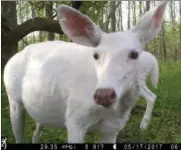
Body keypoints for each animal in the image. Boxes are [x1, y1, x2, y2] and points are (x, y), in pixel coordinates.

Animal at [3, 2, 167, 143]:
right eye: (95, 55)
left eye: (134, 54)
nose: (103, 94)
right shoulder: (74, 119)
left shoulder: (112, 128)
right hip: (13, 98)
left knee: (35, 133)